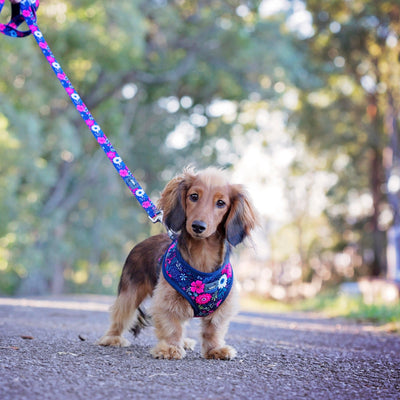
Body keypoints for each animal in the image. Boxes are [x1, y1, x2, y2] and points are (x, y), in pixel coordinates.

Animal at [98, 167, 258, 360]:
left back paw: (185, 342)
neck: (202, 259)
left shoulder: (221, 308)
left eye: (221, 203)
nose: (198, 226)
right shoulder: (166, 301)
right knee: (121, 314)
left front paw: (215, 350)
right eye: (194, 196)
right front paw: (170, 348)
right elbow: (172, 327)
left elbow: (213, 330)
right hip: (130, 293)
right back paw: (112, 337)